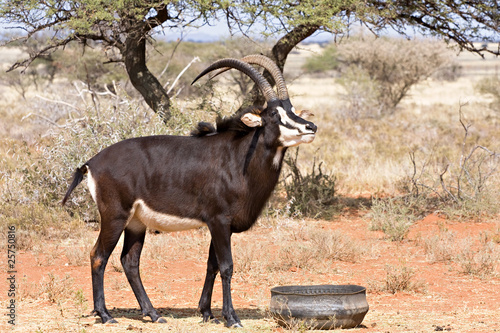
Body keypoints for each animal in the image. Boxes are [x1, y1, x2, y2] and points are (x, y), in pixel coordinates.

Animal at [61, 55, 316, 326]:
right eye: (275, 114)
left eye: (292, 110)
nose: (311, 126)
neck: (239, 156)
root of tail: (91, 162)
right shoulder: (219, 221)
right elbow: (226, 266)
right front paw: (231, 317)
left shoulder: (221, 226)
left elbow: (212, 265)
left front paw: (207, 312)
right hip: (115, 217)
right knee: (98, 256)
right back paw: (105, 314)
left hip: (136, 223)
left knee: (129, 262)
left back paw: (153, 314)